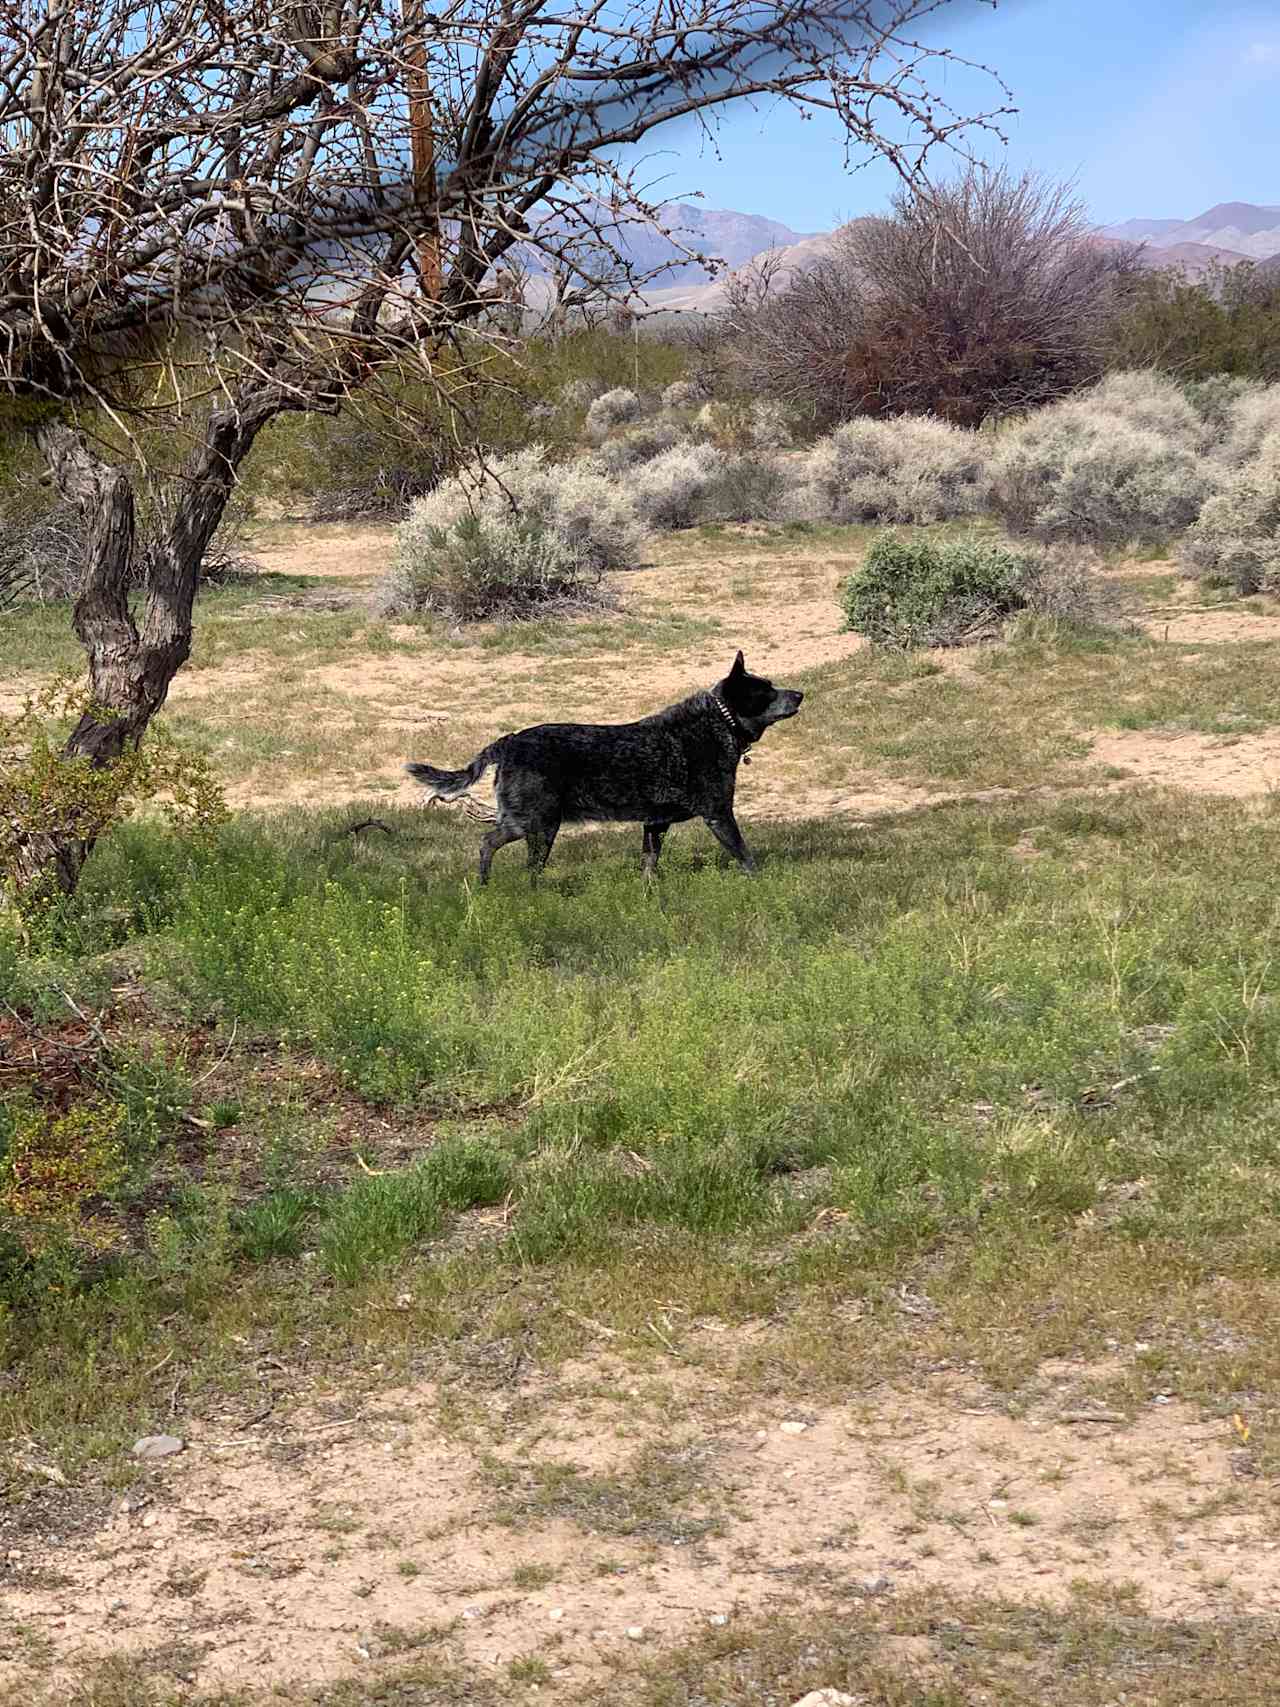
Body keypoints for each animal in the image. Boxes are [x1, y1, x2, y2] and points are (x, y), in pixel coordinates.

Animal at [407, 652, 802, 887]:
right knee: (496, 848)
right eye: (765, 690)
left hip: (529, 822)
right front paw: (761, 881)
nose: (800, 693)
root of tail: (509, 741)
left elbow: (649, 863)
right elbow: (745, 855)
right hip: (536, 823)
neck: (718, 723)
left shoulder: (655, 823)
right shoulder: (719, 814)